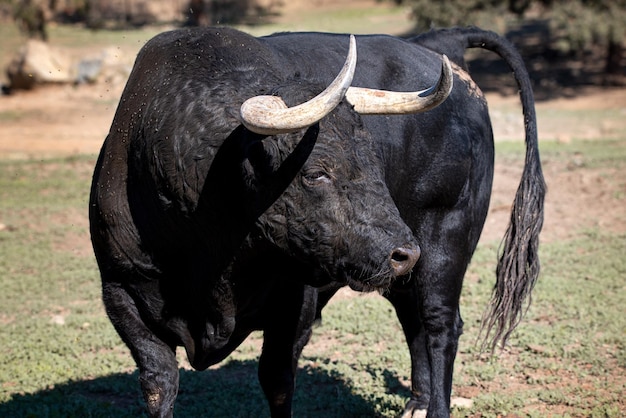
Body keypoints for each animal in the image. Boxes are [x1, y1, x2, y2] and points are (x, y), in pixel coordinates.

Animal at [90, 27, 544, 418]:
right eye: (315, 173)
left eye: (374, 159)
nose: (403, 252)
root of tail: (437, 43)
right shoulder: (121, 292)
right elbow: (159, 383)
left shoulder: (294, 300)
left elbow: (276, 380)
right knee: (412, 318)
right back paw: (417, 403)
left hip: (445, 241)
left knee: (439, 325)